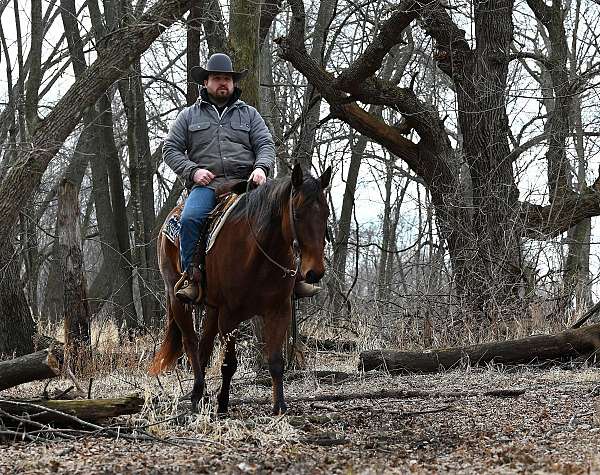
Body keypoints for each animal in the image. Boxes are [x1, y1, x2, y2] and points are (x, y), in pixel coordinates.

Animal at [148, 165, 330, 416]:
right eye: (297, 214)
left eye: (327, 214)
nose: (315, 272)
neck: (257, 252)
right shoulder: (229, 315)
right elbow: (228, 364)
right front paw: (223, 405)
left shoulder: (279, 311)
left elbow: (276, 361)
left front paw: (280, 407)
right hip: (178, 300)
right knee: (191, 342)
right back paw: (196, 394)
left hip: (213, 308)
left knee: (204, 347)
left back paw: (201, 394)